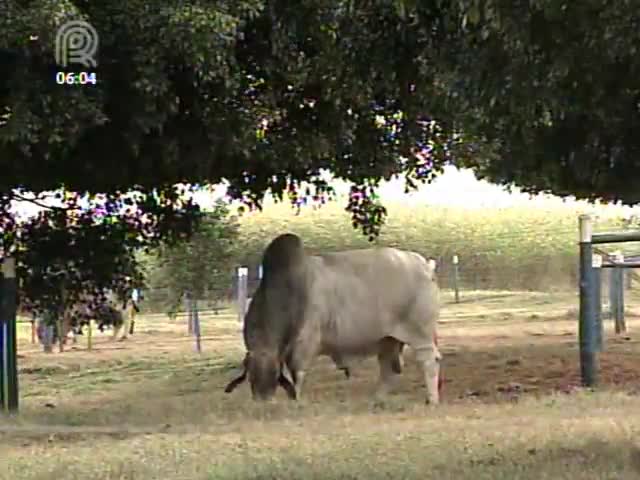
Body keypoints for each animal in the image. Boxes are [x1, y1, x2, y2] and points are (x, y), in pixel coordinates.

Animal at [224, 232, 440, 404]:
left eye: (274, 373)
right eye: (250, 376)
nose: (263, 400)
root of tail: (425, 265)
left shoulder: (304, 344)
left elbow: (297, 375)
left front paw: (297, 400)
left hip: (420, 333)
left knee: (429, 360)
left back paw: (431, 399)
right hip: (388, 339)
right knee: (389, 368)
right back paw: (377, 399)